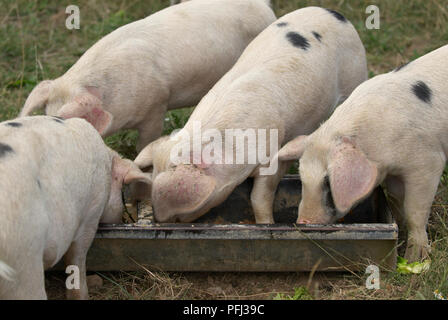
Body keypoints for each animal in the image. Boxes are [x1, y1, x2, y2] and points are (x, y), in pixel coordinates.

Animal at [134, 6, 368, 224]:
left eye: (179, 214)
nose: (158, 220)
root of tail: (334, 12)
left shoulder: (272, 151)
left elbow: (260, 195)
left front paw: (267, 223)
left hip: (355, 74)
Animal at [274, 44, 448, 260]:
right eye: (302, 178)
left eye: (328, 182)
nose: (303, 222)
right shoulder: (394, 174)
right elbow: (397, 201)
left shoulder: (428, 163)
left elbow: (414, 211)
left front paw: (414, 258)